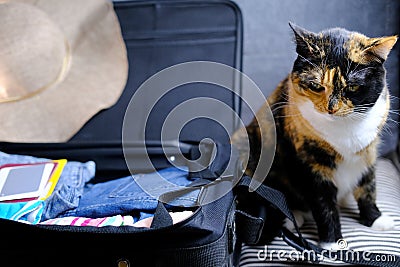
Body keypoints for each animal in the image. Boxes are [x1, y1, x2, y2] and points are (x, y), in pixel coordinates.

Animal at [231, 23, 396, 251]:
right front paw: (333, 244)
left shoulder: (368, 153)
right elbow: (324, 205)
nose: (331, 108)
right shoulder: (310, 163)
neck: (345, 129)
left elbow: (368, 187)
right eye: (316, 86)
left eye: (352, 87)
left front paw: (375, 218)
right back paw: (292, 217)